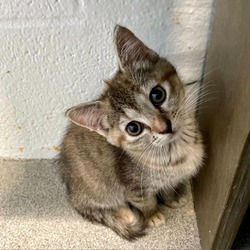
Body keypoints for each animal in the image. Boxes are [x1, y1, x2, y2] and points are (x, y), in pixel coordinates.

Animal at [58, 24, 203, 240]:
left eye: (157, 94)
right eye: (134, 128)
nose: (164, 126)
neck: (177, 149)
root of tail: (73, 196)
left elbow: (168, 187)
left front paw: (172, 197)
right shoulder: (133, 186)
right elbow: (145, 201)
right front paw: (153, 215)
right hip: (98, 187)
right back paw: (125, 212)